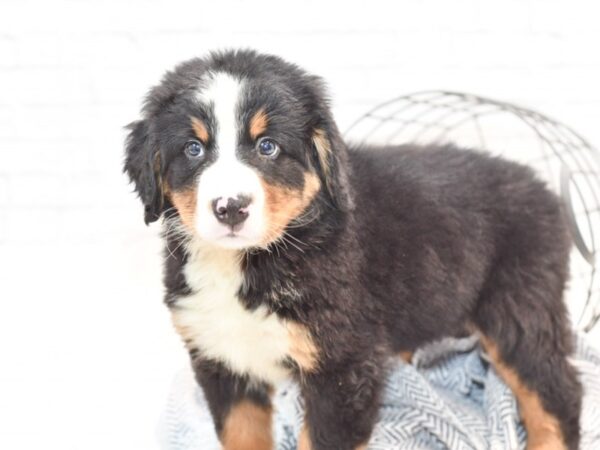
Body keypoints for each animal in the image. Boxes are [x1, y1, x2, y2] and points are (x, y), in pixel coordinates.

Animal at [125, 50, 580, 450]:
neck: (255, 261)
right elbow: (242, 435)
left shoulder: (342, 366)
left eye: (267, 146)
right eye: (193, 149)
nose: (230, 207)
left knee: (558, 391)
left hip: (518, 307)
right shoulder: (222, 357)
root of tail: (542, 188)